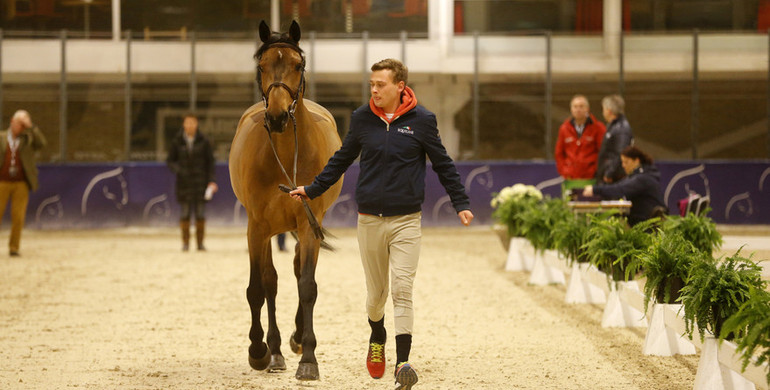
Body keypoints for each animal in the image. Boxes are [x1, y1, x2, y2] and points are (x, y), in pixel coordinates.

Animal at [228, 19, 342, 380]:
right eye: (262, 66)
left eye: (297, 65)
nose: (277, 117)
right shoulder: (256, 228)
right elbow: (257, 288)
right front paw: (258, 351)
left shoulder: (308, 224)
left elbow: (307, 285)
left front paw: (308, 357)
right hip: (267, 231)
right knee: (271, 282)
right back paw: (275, 351)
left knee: (293, 270)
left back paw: (293, 339)